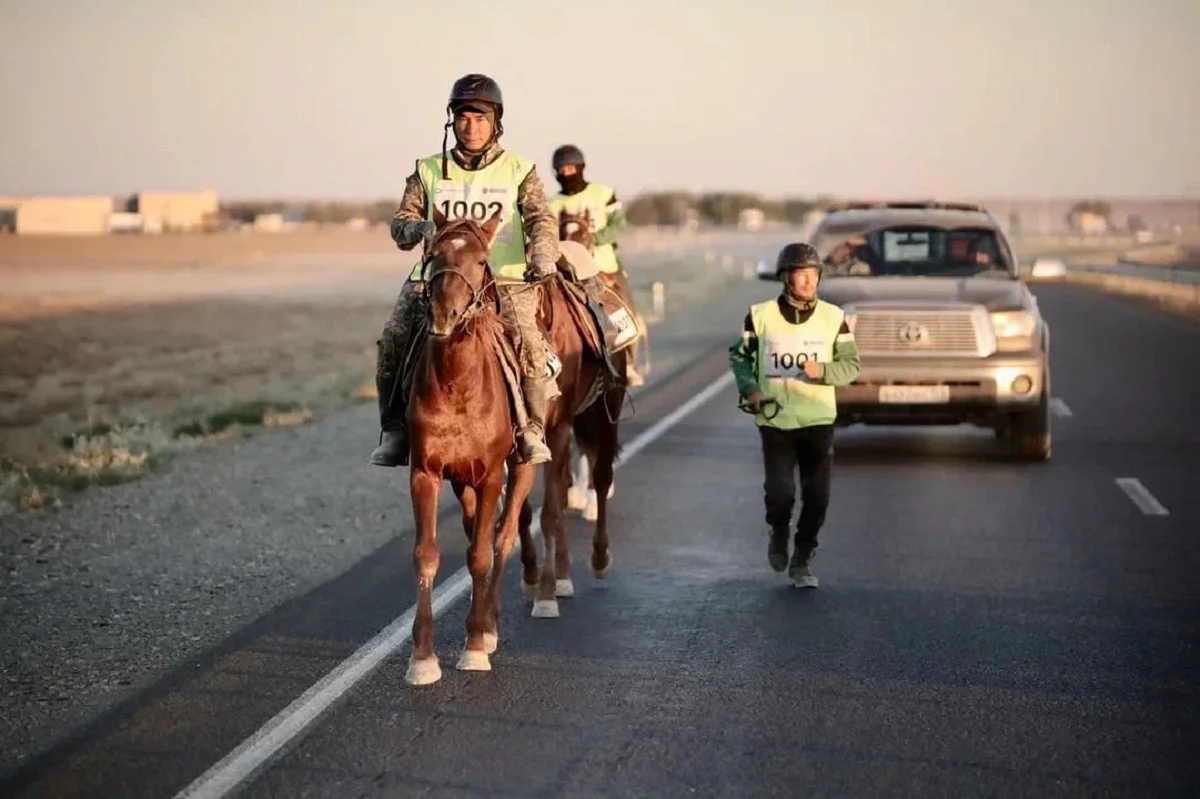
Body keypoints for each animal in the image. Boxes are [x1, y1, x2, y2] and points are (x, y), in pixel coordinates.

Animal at [403, 206, 535, 686]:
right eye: (433, 255)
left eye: (480, 260)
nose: (443, 315)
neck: (457, 383)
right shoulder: (425, 473)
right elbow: (426, 556)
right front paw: (423, 656)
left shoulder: (493, 474)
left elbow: (480, 554)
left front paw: (476, 644)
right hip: (462, 482)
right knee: (474, 524)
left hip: (521, 467)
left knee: (503, 535)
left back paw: (490, 625)